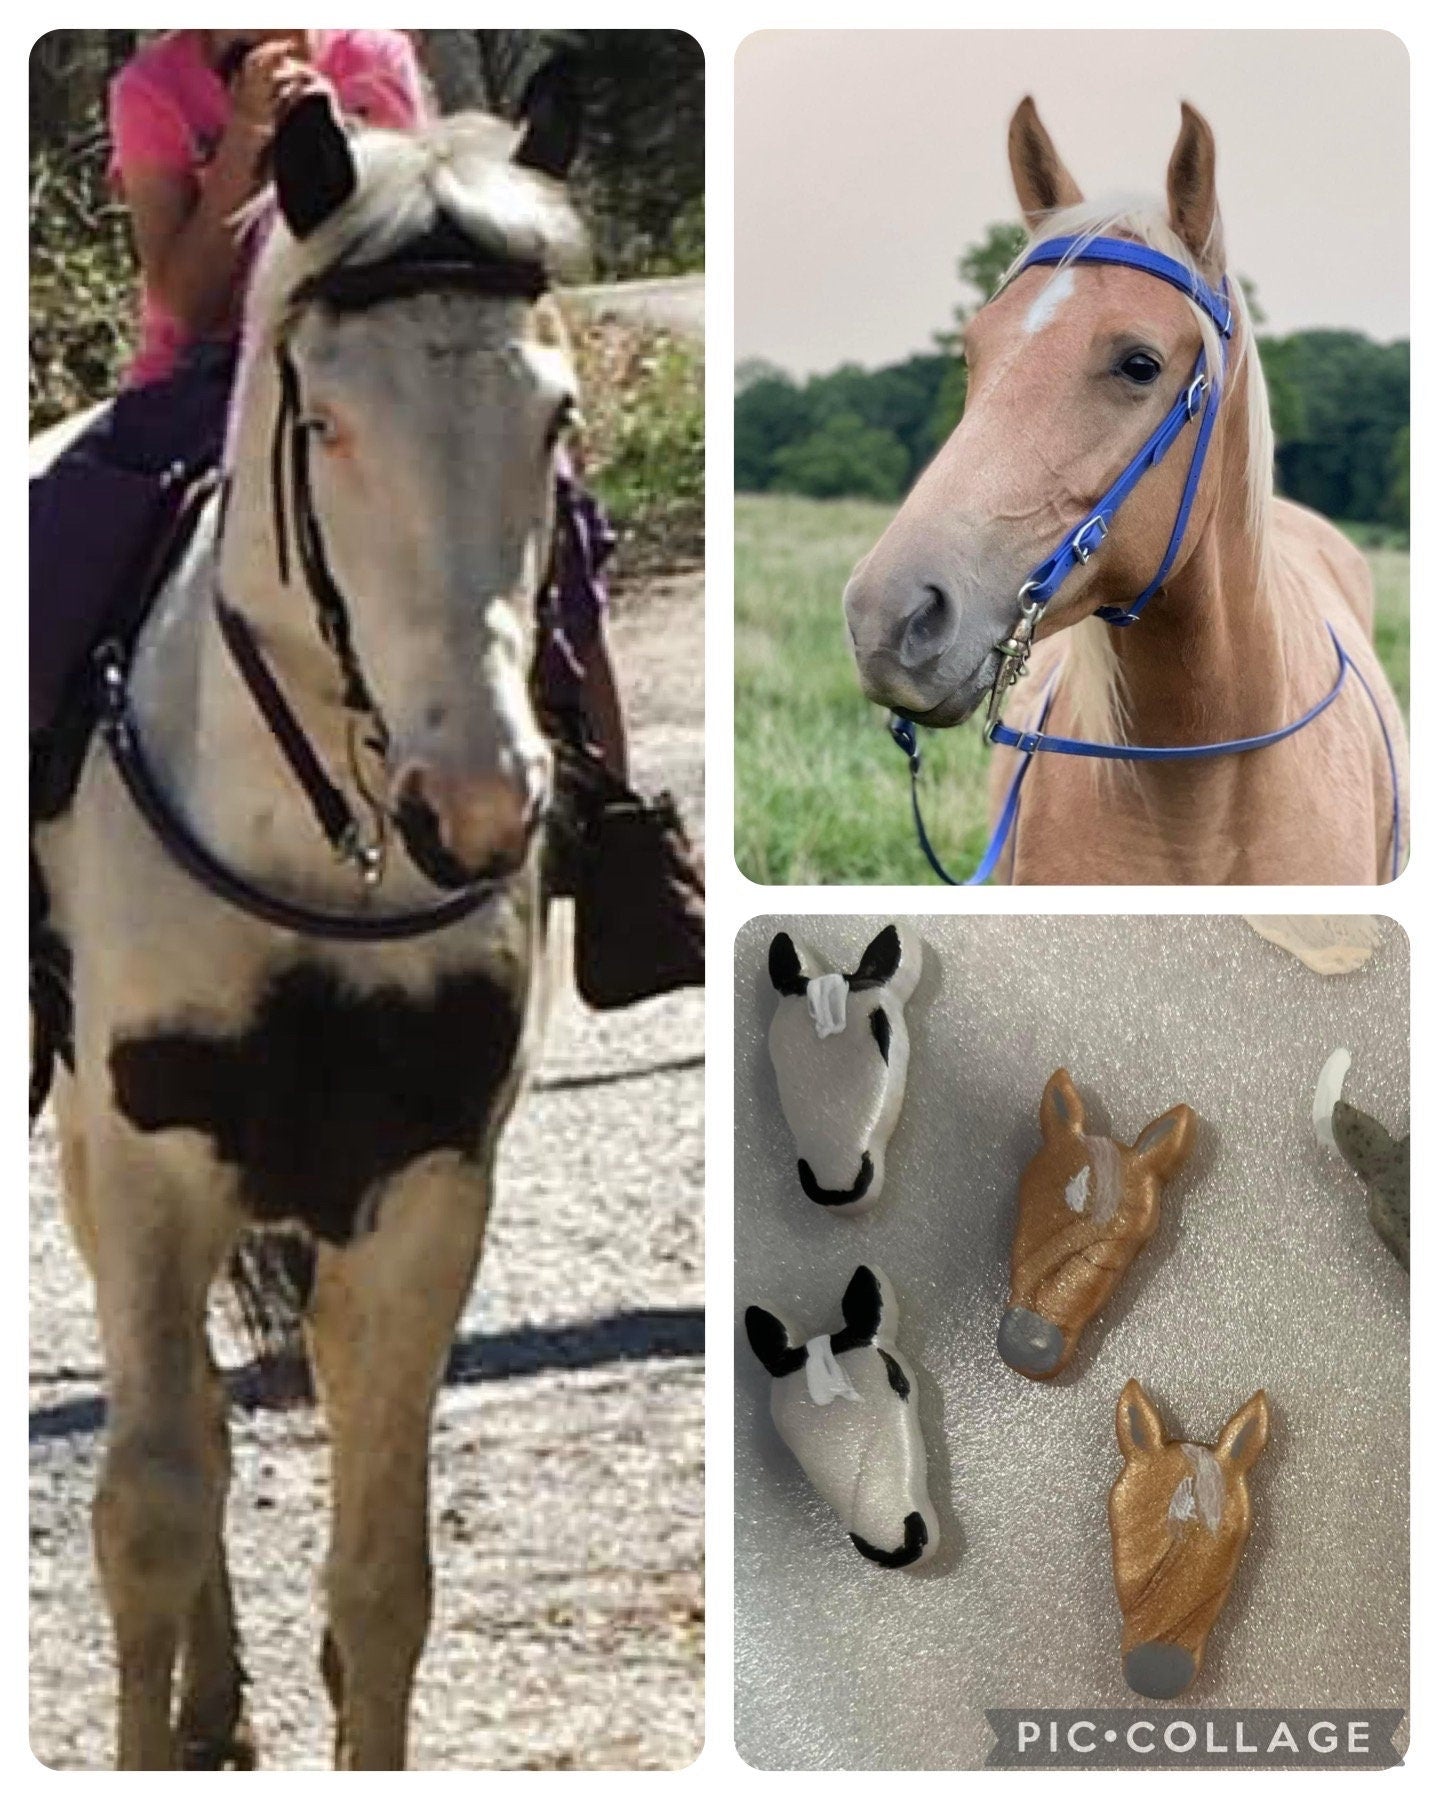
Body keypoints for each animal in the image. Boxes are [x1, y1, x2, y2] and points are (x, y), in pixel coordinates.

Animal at [32, 91, 587, 1769]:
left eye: (551, 418)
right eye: (326, 421)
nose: (476, 804)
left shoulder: (425, 1185)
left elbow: (382, 1573)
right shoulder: (147, 1161)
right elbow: (149, 1508)